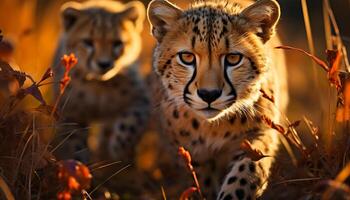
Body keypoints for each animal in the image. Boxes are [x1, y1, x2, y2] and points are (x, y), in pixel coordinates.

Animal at [147, 0, 288, 198]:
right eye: (187, 57)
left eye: (234, 58)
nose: (209, 94)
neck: (214, 127)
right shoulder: (190, 153)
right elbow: (200, 182)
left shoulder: (260, 134)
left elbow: (247, 171)